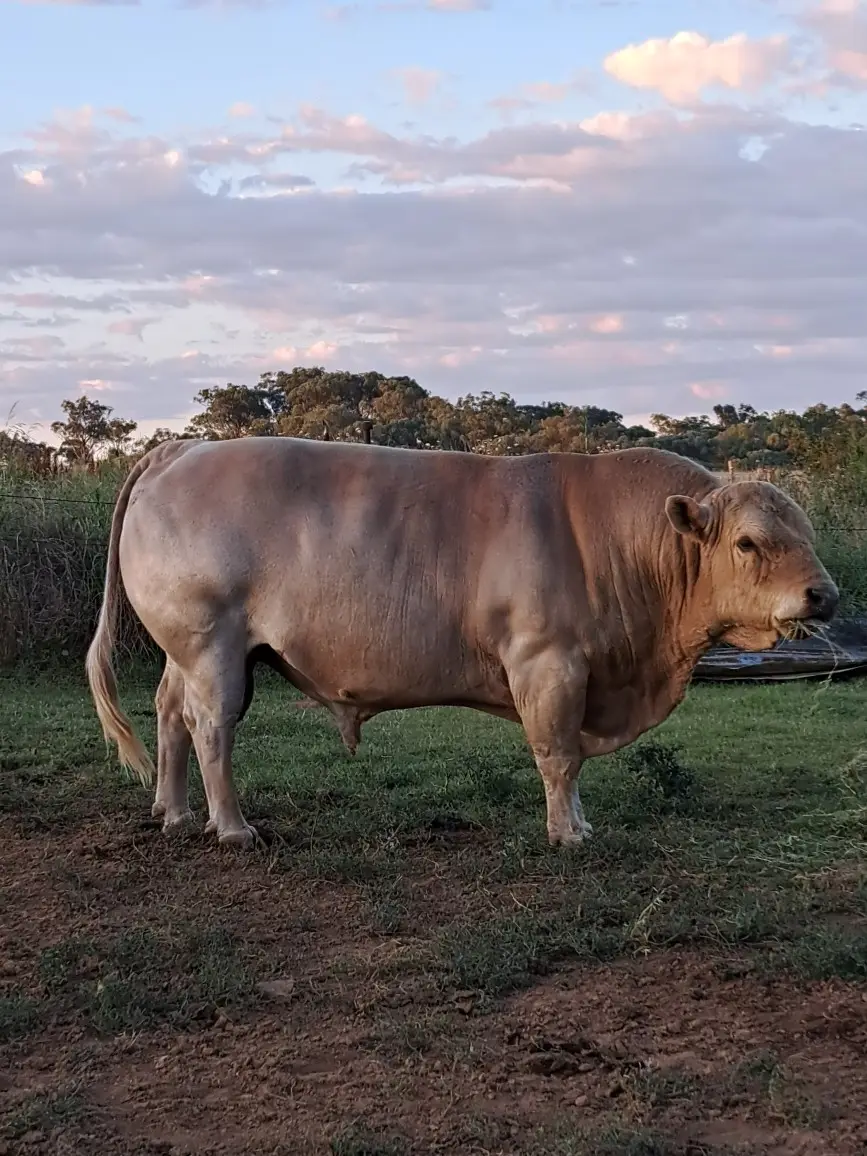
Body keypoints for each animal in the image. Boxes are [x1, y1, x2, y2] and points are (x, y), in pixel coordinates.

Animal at [86, 438, 839, 850]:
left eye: (805, 531)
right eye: (749, 543)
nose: (823, 594)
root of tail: (183, 450)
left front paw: (579, 824)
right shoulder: (548, 663)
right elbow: (559, 756)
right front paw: (568, 833)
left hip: (184, 650)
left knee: (169, 714)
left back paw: (173, 812)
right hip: (213, 643)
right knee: (210, 728)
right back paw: (232, 826)